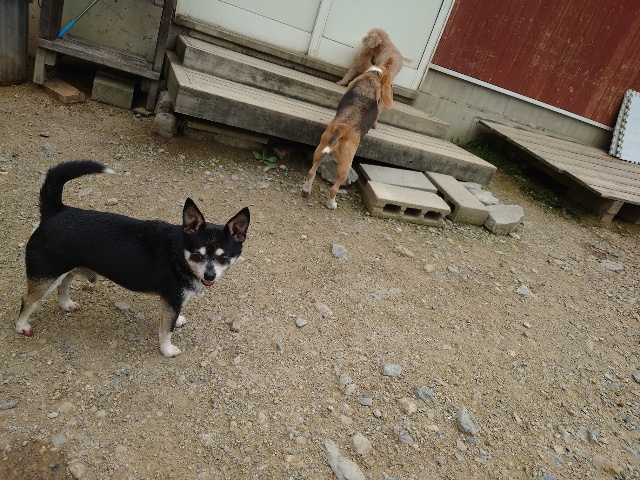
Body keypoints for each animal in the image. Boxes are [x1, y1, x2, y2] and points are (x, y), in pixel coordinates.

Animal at [15, 160, 250, 357]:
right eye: (197, 255)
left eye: (224, 258)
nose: (209, 275)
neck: (178, 253)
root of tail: (55, 211)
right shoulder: (172, 299)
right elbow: (166, 329)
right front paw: (167, 350)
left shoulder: (173, 301)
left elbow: (173, 318)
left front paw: (178, 321)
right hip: (45, 275)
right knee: (27, 300)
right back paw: (21, 327)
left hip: (67, 268)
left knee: (63, 284)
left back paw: (66, 304)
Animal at [302, 65, 393, 209]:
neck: (374, 74)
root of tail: (341, 129)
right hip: (346, 165)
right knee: (334, 188)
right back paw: (331, 204)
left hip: (320, 150)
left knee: (311, 172)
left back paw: (306, 190)